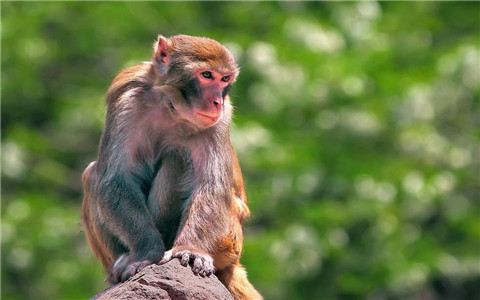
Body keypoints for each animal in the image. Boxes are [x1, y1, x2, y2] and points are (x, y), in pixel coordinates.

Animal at [82, 34, 262, 298]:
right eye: (207, 75)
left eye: (224, 79)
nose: (217, 101)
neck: (171, 107)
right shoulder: (126, 99)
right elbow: (115, 179)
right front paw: (146, 253)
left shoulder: (222, 119)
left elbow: (212, 187)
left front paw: (190, 248)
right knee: (92, 175)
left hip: (229, 242)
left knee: (178, 160)